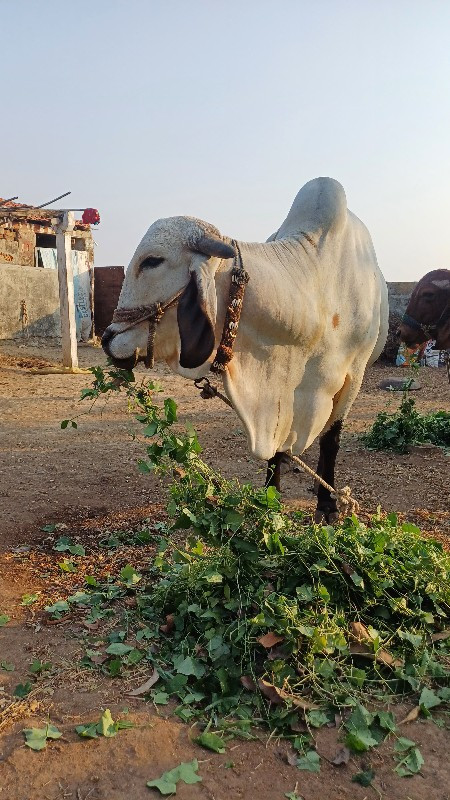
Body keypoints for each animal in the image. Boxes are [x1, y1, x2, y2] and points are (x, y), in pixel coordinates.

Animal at [102, 178, 386, 520]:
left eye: (152, 261)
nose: (107, 338)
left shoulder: (353, 375)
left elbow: (331, 439)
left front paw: (328, 504)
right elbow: (276, 447)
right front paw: (270, 500)